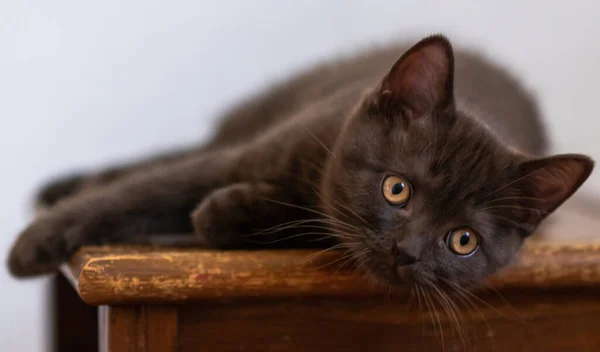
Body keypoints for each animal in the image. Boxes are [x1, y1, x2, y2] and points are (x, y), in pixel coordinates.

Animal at [7, 35, 592, 292]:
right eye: (396, 189)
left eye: (463, 240)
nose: (406, 253)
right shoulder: (248, 155)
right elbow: (143, 192)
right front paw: (32, 246)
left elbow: (309, 223)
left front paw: (227, 211)